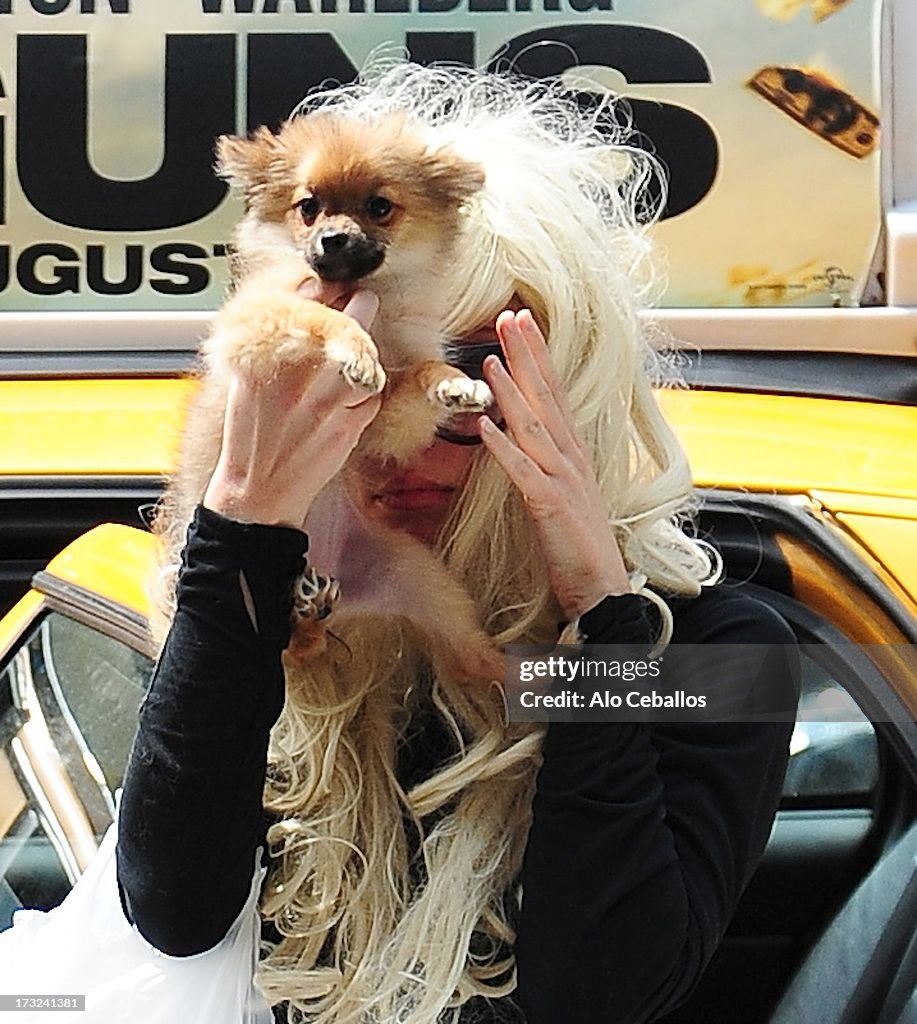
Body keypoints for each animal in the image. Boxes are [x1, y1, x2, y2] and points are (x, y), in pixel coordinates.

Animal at [153, 108, 505, 684]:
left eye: (380, 207)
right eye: (308, 207)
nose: (334, 239)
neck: (372, 299)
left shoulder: (381, 421)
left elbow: (420, 372)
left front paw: (454, 383)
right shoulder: (256, 323)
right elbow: (325, 317)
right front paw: (356, 350)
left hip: (428, 585)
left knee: (476, 656)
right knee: (290, 649)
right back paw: (308, 614)